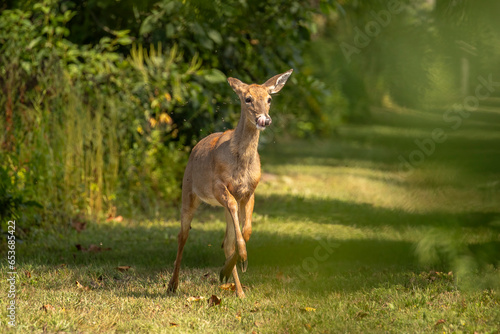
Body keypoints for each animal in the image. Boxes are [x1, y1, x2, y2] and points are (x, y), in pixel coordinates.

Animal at [168, 68, 292, 298]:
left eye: (269, 99)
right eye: (248, 98)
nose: (264, 120)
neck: (241, 165)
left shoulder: (250, 191)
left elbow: (246, 230)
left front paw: (233, 266)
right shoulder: (218, 185)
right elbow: (235, 218)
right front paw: (241, 259)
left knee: (226, 242)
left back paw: (238, 289)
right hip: (188, 191)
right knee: (183, 235)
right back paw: (172, 285)